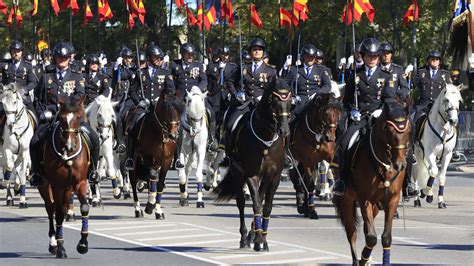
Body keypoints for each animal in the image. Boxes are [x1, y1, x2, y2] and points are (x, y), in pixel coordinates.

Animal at [37, 95, 90, 258]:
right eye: (61, 118)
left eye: (78, 117)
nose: (69, 146)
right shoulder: (57, 185)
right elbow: (58, 213)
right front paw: (60, 247)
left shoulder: (80, 182)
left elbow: (84, 207)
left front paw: (83, 244)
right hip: (45, 186)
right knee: (51, 209)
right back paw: (53, 243)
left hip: (68, 188)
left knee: (62, 207)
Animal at [128, 90, 183, 219]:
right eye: (165, 110)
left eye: (178, 110)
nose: (173, 135)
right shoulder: (147, 157)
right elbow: (152, 176)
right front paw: (150, 205)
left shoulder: (166, 161)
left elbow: (160, 184)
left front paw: (157, 209)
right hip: (134, 160)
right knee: (134, 180)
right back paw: (138, 208)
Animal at [215, 78, 292, 251]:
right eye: (273, 100)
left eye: (290, 101)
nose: (284, 130)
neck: (265, 140)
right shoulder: (252, 174)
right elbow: (256, 205)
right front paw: (258, 241)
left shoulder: (274, 176)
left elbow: (267, 206)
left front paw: (263, 239)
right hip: (238, 173)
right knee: (241, 203)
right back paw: (244, 238)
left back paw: (252, 233)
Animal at [334, 98, 412, 264]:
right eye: (387, 129)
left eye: (408, 130)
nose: (400, 165)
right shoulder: (365, 199)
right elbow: (371, 238)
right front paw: (363, 259)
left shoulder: (392, 199)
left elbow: (386, 238)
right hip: (346, 199)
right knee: (352, 232)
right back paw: (357, 260)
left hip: (376, 204)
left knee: (363, 229)